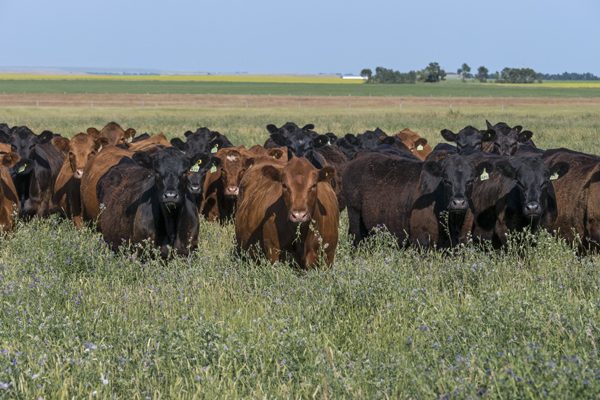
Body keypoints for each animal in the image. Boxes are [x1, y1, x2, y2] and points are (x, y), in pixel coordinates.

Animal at [344, 152, 494, 248]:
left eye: (471, 180)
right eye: (446, 180)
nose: (458, 203)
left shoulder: (462, 239)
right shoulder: (421, 239)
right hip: (355, 218)